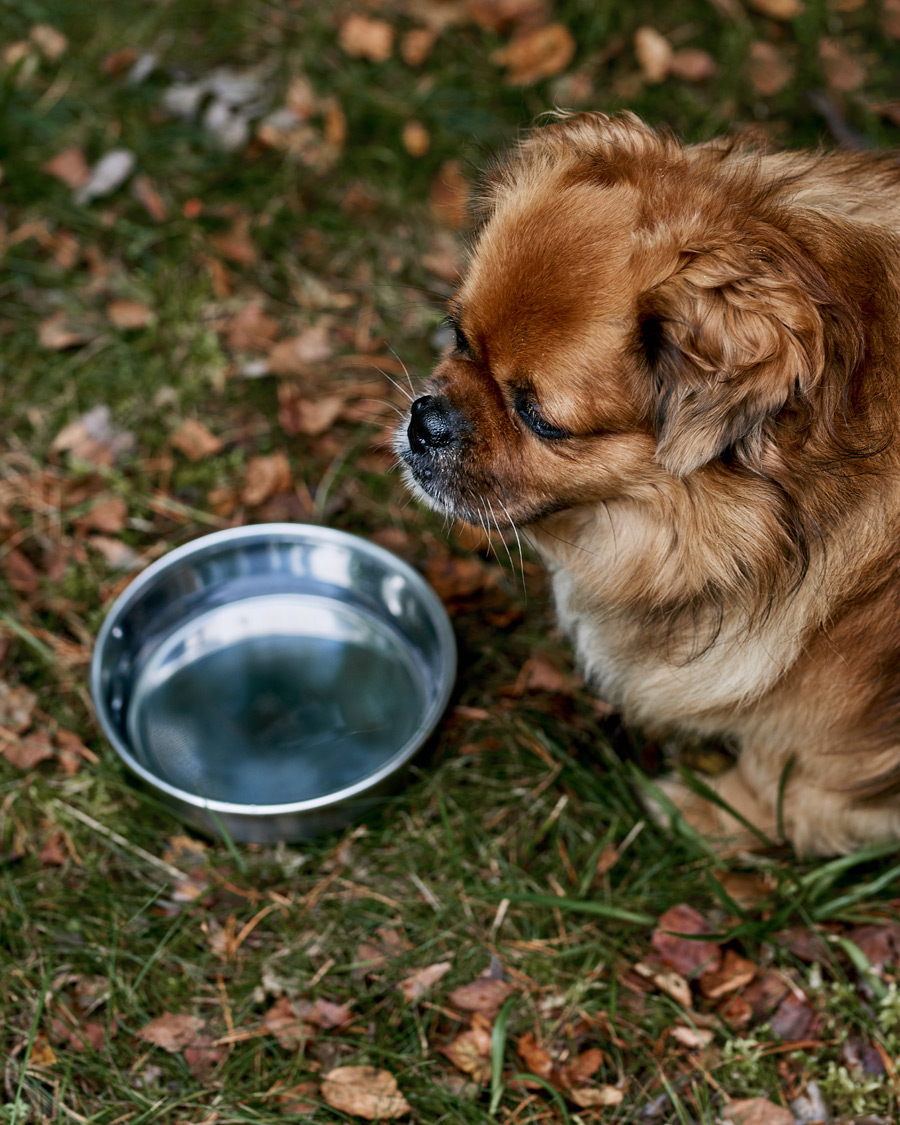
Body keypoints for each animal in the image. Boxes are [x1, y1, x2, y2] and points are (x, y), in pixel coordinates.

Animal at [396, 111, 900, 850]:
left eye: (538, 417)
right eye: (458, 337)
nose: (425, 421)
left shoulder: (833, 729)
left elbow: (780, 780)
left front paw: (707, 813)